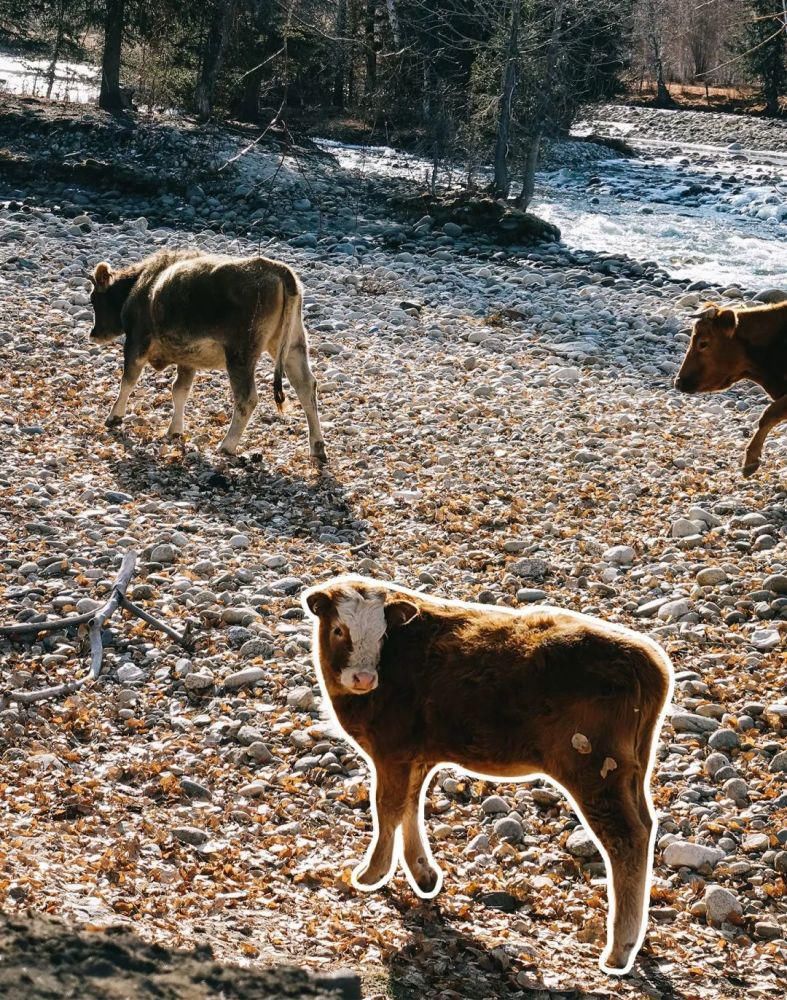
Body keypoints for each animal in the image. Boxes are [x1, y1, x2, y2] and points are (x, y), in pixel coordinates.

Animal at [88, 250, 326, 468]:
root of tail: (277, 269)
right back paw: (317, 447)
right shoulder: (186, 358)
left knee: (247, 398)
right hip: (292, 345)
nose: (93, 334)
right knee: (306, 387)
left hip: (241, 355)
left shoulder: (136, 342)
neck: (142, 284)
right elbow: (180, 391)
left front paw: (114, 416)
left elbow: (128, 381)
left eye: (94, 299)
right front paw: (175, 430)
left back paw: (227, 445)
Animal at [304, 576, 676, 972]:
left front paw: (371, 873)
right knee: (646, 826)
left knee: (625, 839)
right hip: (632, 770)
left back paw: (620, 948)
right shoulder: (415, 756)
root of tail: (645, 659)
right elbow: (409, 807)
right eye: (339, 629)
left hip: (596, 769)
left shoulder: (392, 752)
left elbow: (387, 808)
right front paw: (423, 874)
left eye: (382, 633)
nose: (362, 677)